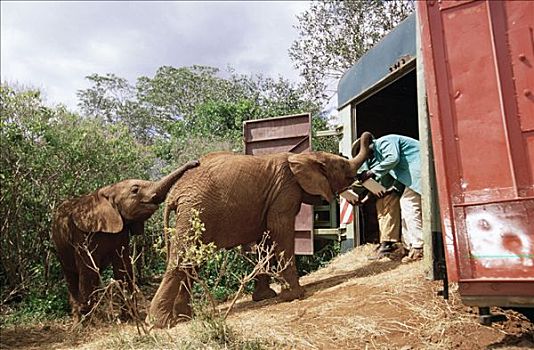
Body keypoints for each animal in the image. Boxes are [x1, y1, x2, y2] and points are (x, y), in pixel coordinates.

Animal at [50, 160, 199, 322]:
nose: (196, 162)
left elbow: (122, 267)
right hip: (60, 246)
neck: (106, 191)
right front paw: (90, 320)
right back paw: (80, 319)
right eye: (135, 190)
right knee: (72, 275)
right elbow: (88, 270)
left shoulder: (121, 231)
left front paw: (129, 317)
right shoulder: (82, 234)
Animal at [147, 132, 372, 328]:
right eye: (342, 165)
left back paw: (186, 316)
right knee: (181, 260)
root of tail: (174, 193)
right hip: (196, 210)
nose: (366, 175)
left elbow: (265, 241)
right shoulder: (285, 192)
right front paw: (296, 295)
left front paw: (266, 297)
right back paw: (162, 323)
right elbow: (280, 231)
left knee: (192, 262)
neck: (303, 157)